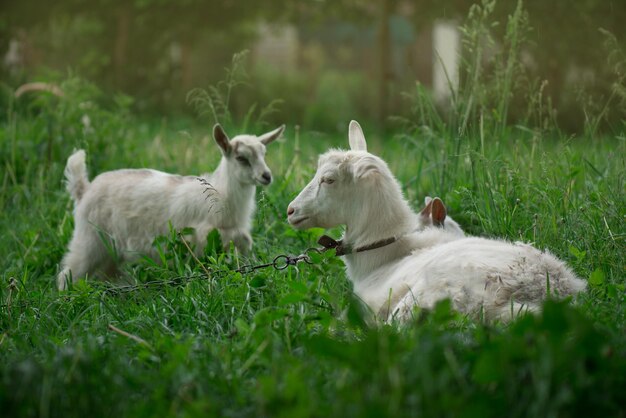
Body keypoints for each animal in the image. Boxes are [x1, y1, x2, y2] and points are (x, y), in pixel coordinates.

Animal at [58, 122, 282, 290]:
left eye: (264, 154)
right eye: (241, 158)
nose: (267, 176)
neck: (221, 192)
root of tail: (84, 189)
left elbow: (243, 240)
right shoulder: (200, 234)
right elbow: (241, 238)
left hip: (110, 249)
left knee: (108, 273)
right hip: (90, 239)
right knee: (69, 272)